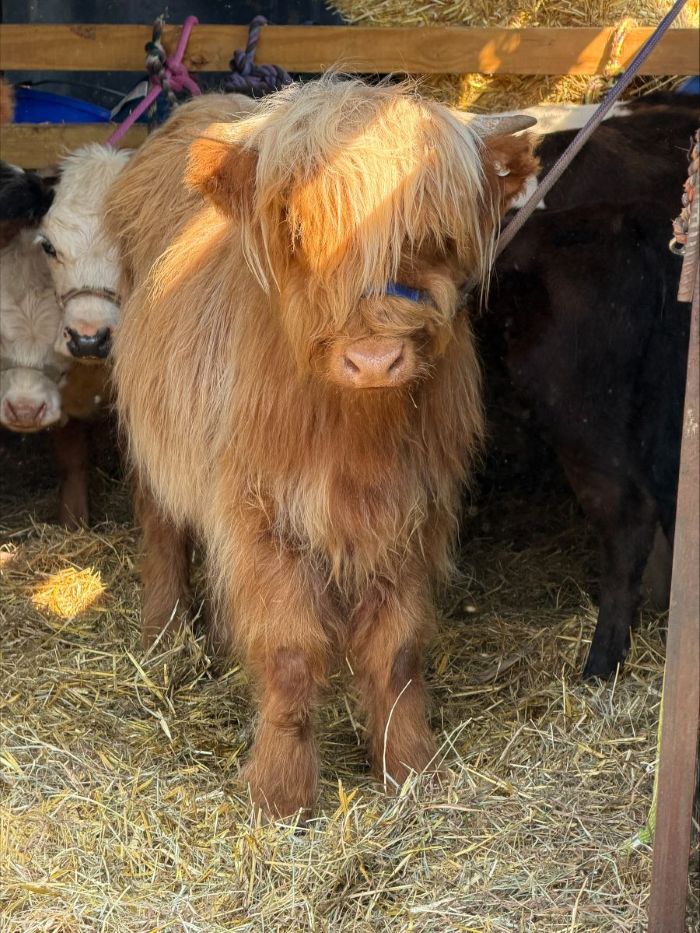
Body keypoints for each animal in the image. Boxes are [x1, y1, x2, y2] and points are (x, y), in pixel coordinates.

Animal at [106, 77, 537, 817]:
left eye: (435, 236)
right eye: (298, 231)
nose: (374, 360)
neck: (355, 436)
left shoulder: (412, 512)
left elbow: (396, 649)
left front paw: (408, 765)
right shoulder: (263, 514)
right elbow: (291, 650)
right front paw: (279, 793)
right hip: (153, 436)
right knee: (160, 523)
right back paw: (165, 638)